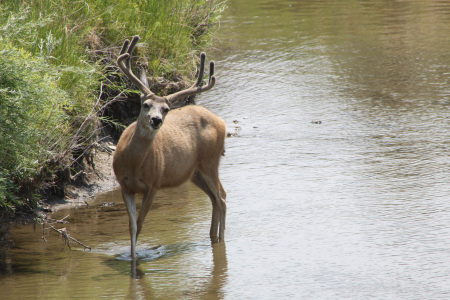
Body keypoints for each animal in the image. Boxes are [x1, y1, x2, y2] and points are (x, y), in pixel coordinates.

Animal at [112, 35, 225, 260]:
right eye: (145, 105)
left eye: (166, 109)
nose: (156, 120)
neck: (133, 165)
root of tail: (222, 123)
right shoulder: (124, 185)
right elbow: (132, 226)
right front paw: (131, 258)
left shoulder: (154, 184)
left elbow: (140, 224)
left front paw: (136, 261)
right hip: (194, 172)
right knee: (215, 198)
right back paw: (213, 237)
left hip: (210, 161)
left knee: (222, 197)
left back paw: (221, 240)